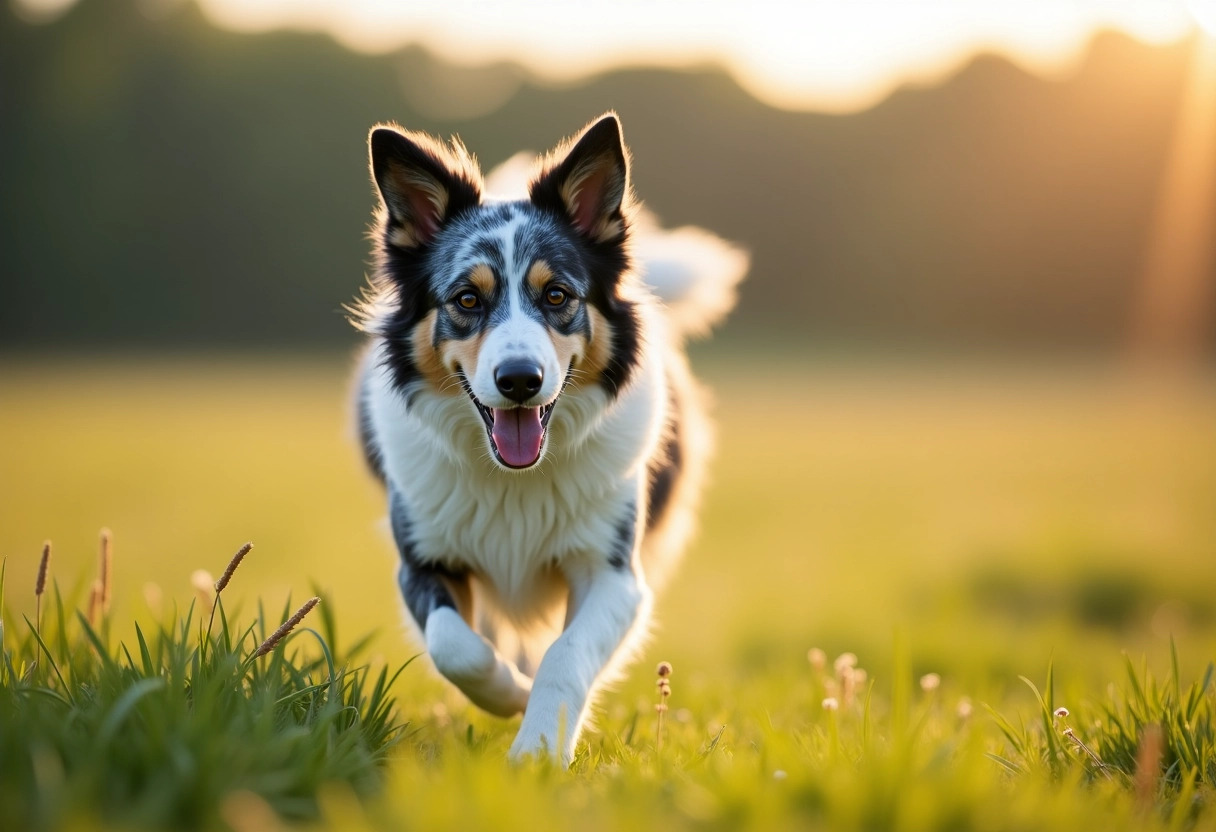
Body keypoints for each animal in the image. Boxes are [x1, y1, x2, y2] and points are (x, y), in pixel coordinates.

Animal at [352, 113, 744, 763]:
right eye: (466, 299)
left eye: (557, 295)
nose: (519, 380)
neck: (515, 479)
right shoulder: (421, 559)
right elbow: (455, 647)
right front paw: (510, 694)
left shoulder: (615, 574)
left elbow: (567, 654)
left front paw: (537, 749)